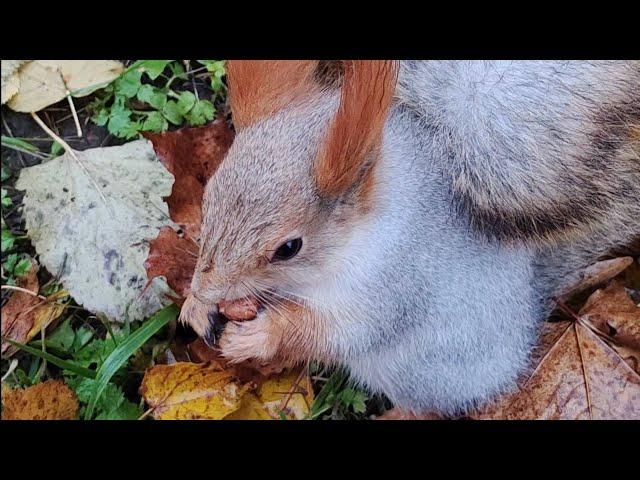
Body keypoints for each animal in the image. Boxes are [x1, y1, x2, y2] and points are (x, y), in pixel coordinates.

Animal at [179, 61, 640, 416]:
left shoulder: (392, 283)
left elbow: (337, 330)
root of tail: (527, 316)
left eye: (288, 248)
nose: (207, 290)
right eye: (209, 194)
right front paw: (195, 308)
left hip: (422, 373)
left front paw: (259, 336)